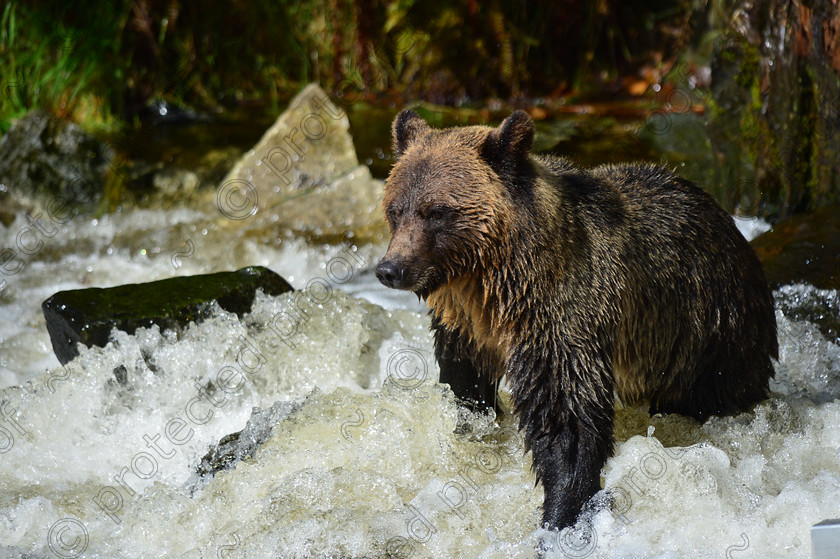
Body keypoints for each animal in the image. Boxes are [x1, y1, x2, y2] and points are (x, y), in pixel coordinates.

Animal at [378, 108, 776, 528]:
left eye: (436, 212)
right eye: (395, 209)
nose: (390, 269)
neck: (494, 284)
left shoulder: (561, 315)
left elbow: (566, 414)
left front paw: (562, 509)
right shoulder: (465, 328)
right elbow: (464, 383)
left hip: (709, 332)